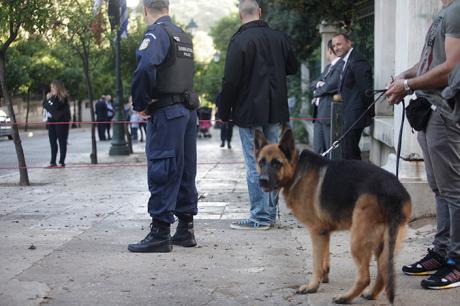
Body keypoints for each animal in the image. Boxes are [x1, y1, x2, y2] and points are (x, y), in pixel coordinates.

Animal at [255, 128, 414, 304]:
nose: (262, 181)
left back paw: (345, 297)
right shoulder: (324, 233)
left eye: (277, 163)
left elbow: (316, 263)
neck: (297, 170)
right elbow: (324, 258)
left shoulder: (316, 232)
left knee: (365, 277)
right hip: (383, 242)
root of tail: (394, 192)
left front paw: (312, 286)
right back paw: (371, 294)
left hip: (358, 239)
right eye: (261, 162)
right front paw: (324, 277)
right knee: (383, 269)